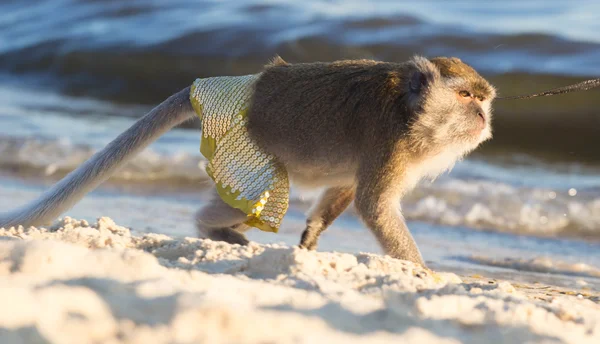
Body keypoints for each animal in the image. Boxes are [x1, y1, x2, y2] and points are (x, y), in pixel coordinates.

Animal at [1, 55, 496, 266]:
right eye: (465, 96)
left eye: (483, 99)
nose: (482, 115)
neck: (410, 109)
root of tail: (240, 82)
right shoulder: (389, 142)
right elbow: (373, 204)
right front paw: (421, 270)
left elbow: (349, 189)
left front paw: (312, 234)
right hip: (240, 146)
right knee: (257, 197)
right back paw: (210, 227)